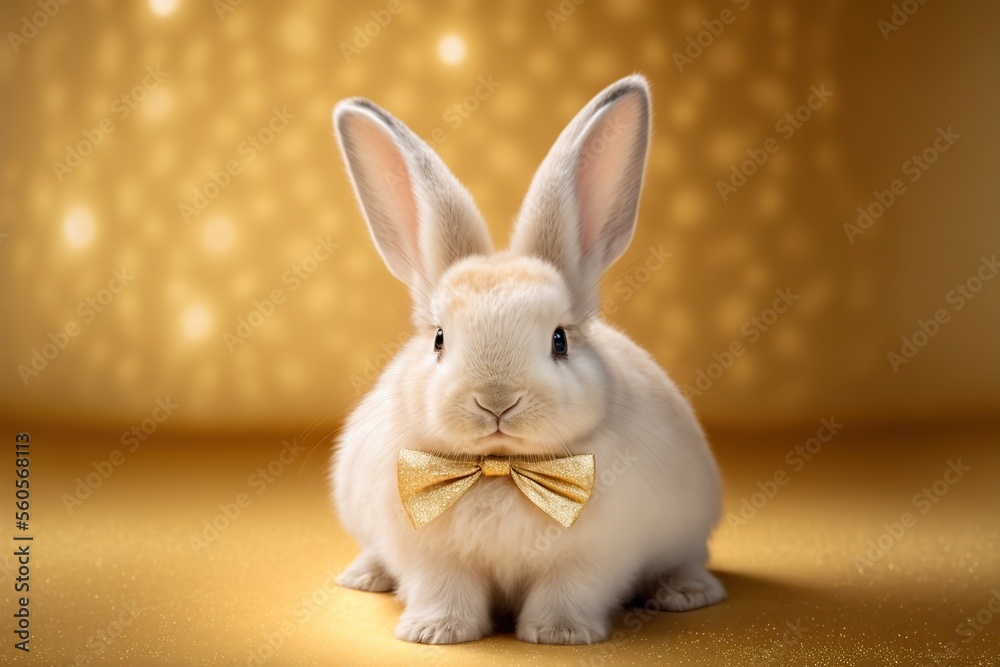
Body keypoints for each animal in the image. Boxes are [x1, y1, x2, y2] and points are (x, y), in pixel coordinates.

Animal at [330, 74, 725, 645]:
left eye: (560, 340)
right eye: (439, 339)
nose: (496, 401)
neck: (501, 470)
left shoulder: (592, 560)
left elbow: (567, 591)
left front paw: (559, 634)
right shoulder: (430, 557)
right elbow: (444, 589)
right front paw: (436, 632)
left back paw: (688, 593)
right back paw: (363, 576)